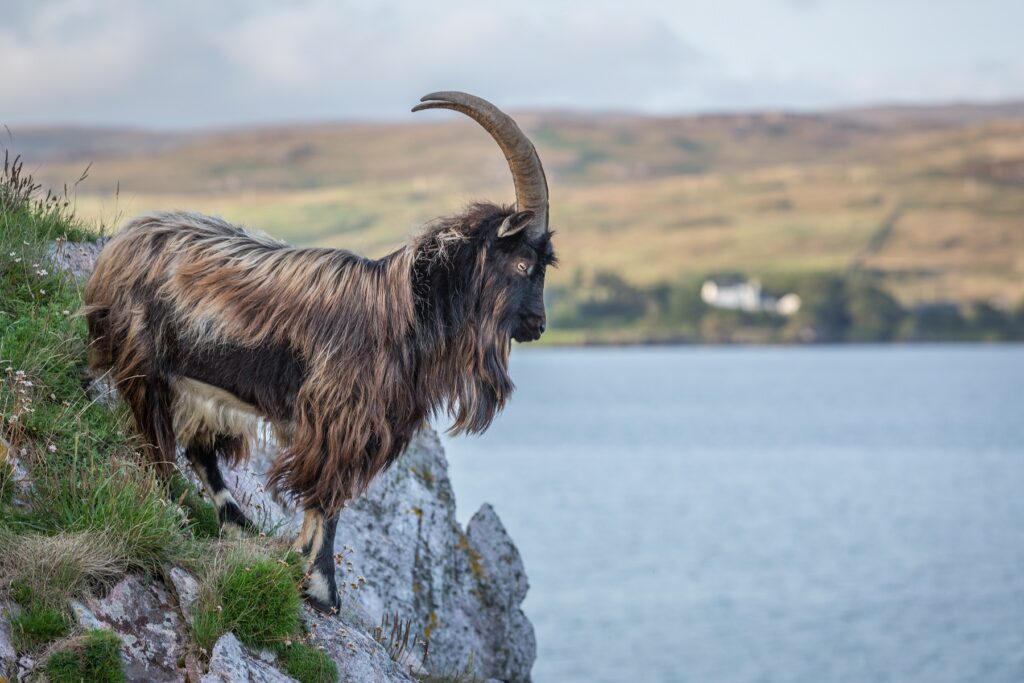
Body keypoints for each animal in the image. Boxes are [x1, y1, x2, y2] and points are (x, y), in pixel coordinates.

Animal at [83, 92, 557, 614]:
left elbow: (321, 502)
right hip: (144, 362)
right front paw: (323, 588)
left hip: (194, 386)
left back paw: (238, 524)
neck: (403, 313)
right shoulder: (339, 420)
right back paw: (176, 508)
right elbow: (327, 500)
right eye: (524, 263)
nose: (537, 325)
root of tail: (119, 245)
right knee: (156, 441)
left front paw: (301, 567)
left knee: (198, 450)